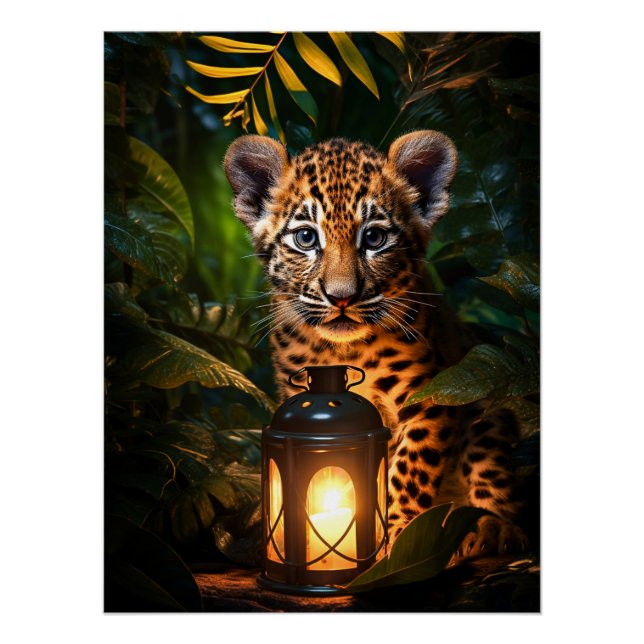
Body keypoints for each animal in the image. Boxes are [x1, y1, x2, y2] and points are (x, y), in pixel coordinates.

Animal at [224, 131, 529, 561]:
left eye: (374, 237)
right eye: (306, 238)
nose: (341, 297)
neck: (339, 352)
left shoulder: (431, 397)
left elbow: (409, 469)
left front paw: (396, 535)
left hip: (489, 401)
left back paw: (489, 526)